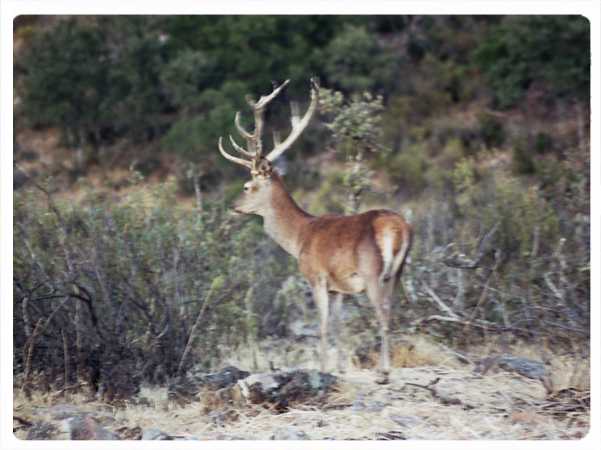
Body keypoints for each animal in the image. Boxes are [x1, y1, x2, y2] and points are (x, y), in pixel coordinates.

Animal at [218, 77, 410, 384]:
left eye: (247, 187)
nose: (233, 205)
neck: (299, 238)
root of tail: (398, 228)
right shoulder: (339, 288)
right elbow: (339, 325)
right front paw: (341, 367)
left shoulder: (316, 277)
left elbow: (321, 325)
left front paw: (322, 369)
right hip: (398, 271)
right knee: (391, 311)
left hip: (372, 271)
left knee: (382, 315)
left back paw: (384, 372)